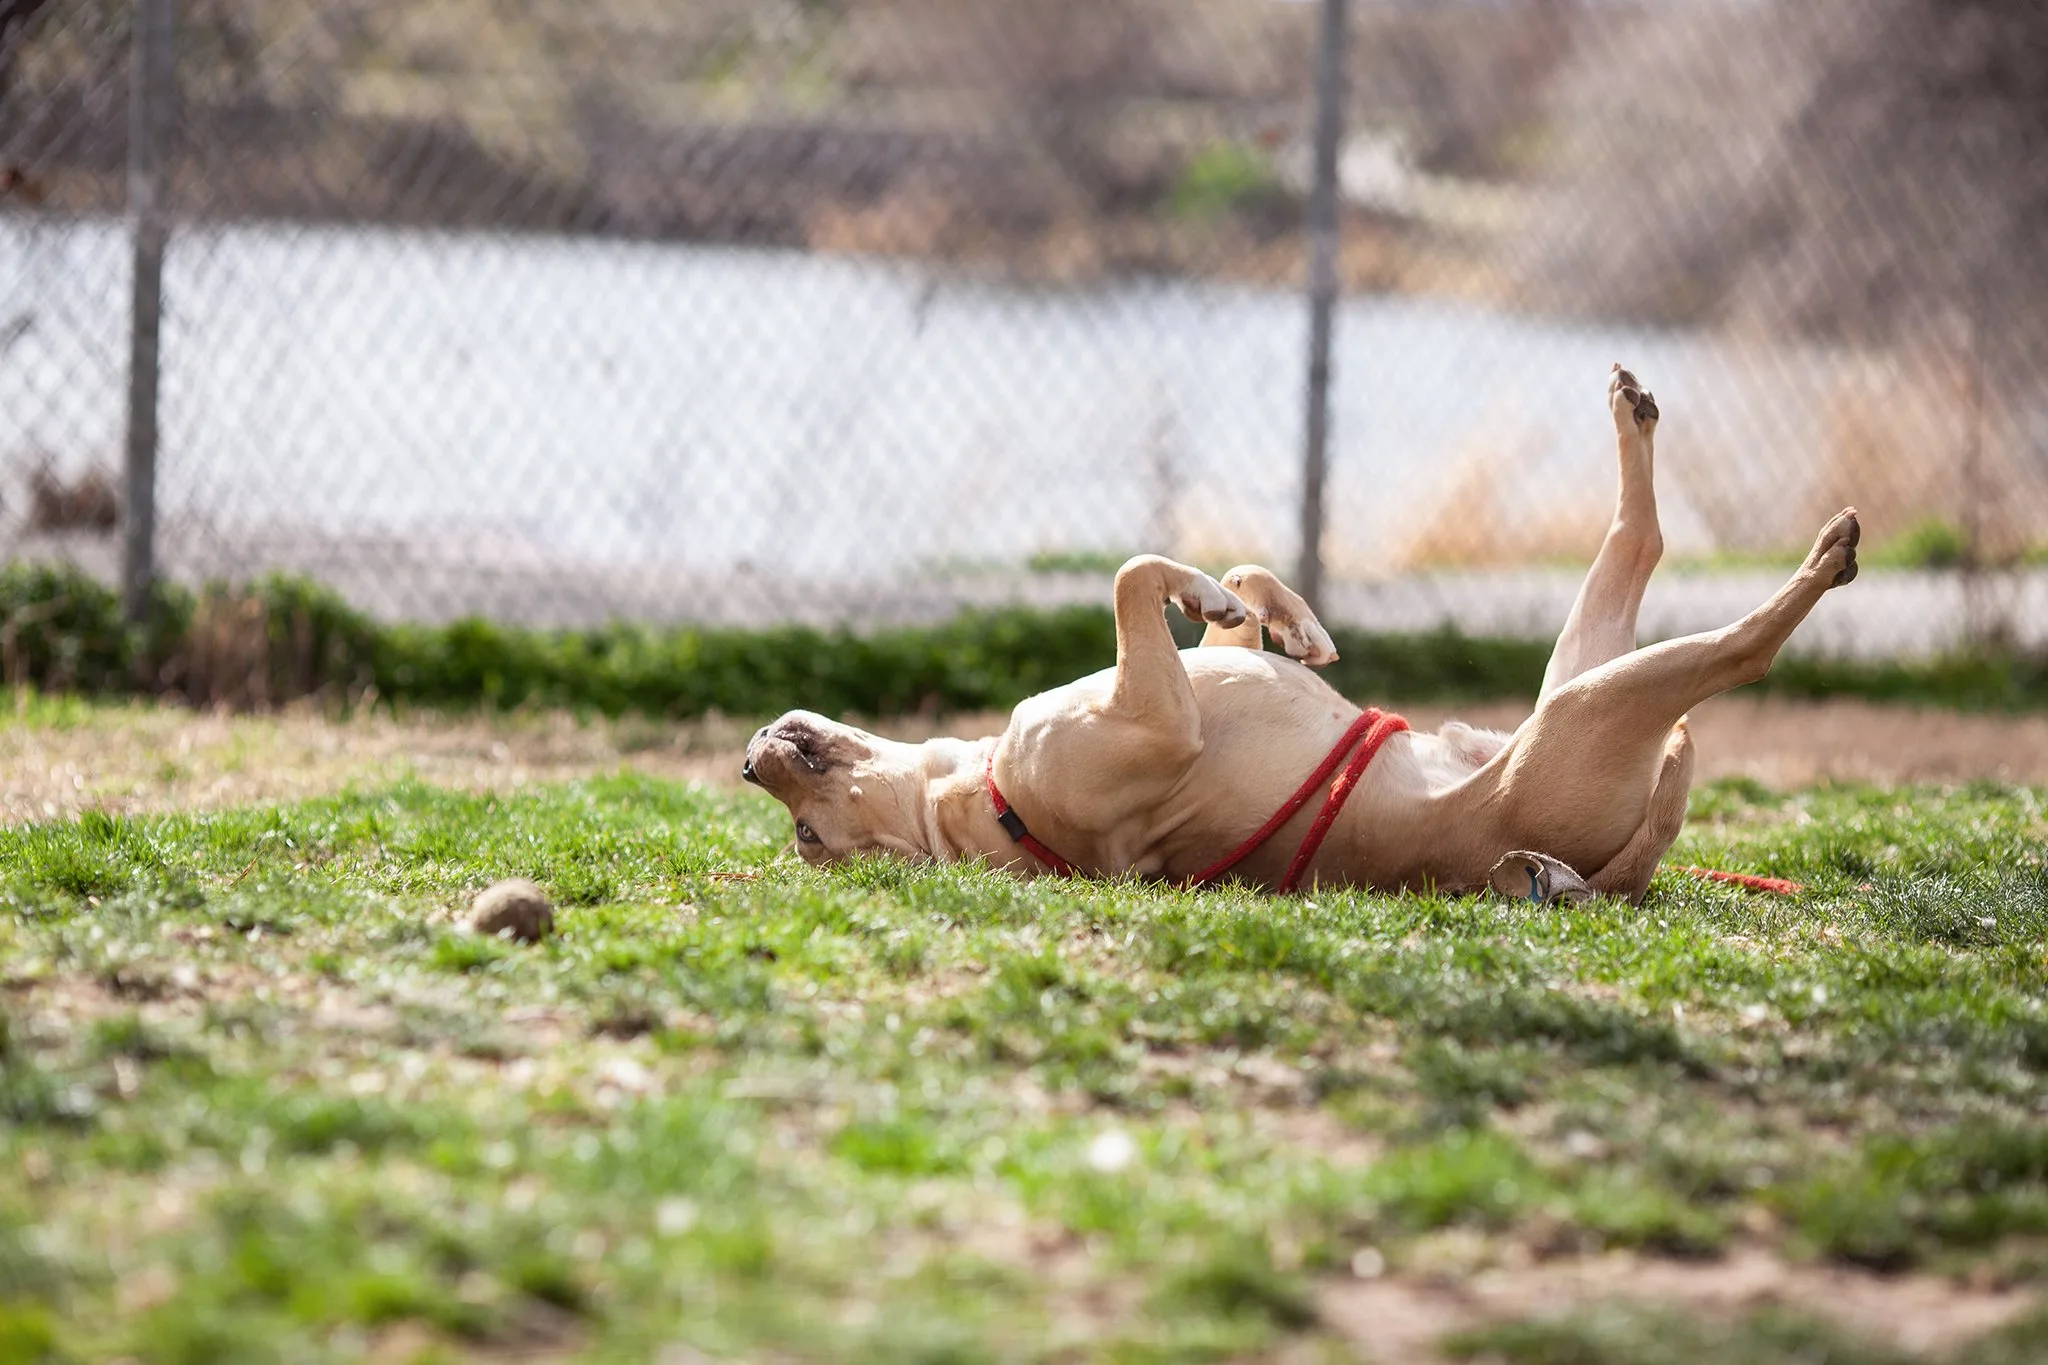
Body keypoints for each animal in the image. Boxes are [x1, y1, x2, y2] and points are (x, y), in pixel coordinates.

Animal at [749, 362, 1859, 900]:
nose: (752, 757)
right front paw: (1211, 593)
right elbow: (1129, 572)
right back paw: (1820, 561)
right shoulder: (1161, 722)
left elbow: (1225, 588)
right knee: (1730, 640)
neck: (972, 794)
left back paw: (1634, 417)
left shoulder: (1185, 678)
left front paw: (1285, 618)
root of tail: (1634, 863)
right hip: (1588, 712)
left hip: (1575, 677)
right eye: (811, 839)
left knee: (1637, 538)